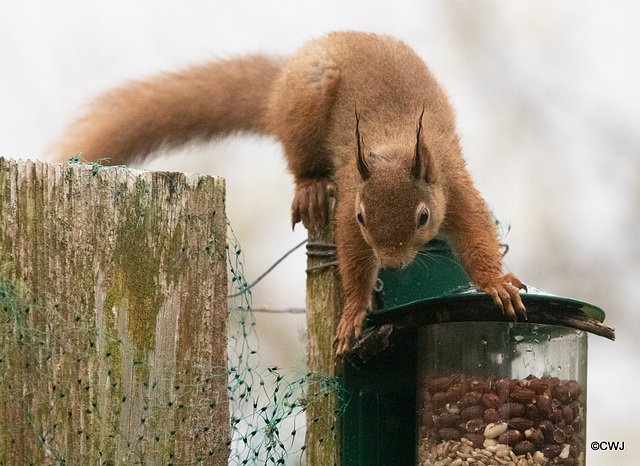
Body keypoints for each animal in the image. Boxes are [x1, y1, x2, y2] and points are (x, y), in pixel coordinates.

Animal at [52, 31, 524, 354]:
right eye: (362, 217)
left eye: (423, 216)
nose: (391, 262)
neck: (394, 145)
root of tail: (279, 86)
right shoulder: (350, 200)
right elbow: (353, 259)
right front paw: (354, 310)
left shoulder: (455, 187)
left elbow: (479, 236)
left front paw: (496, 284)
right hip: (305, 106)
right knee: (300, 164)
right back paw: (310, 189)